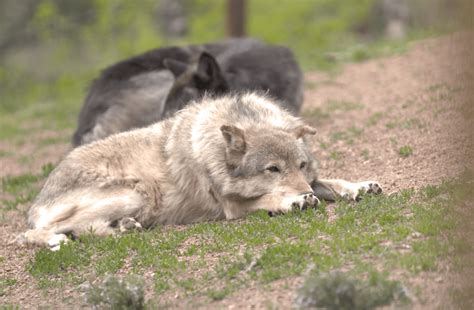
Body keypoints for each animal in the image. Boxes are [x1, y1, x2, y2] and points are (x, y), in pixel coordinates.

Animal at [21, 93, 382, 251]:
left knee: (86, 229)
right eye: (273, 169)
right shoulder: (231, 206)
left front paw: (359, 186)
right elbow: (267, 200)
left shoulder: (312, 178)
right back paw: (53, 239)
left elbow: (332, 181)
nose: (305, 193)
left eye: (301, 165)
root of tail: (40, 195)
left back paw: (123, 229)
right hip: (135, 192)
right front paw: (294, 202)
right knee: (30, 234)